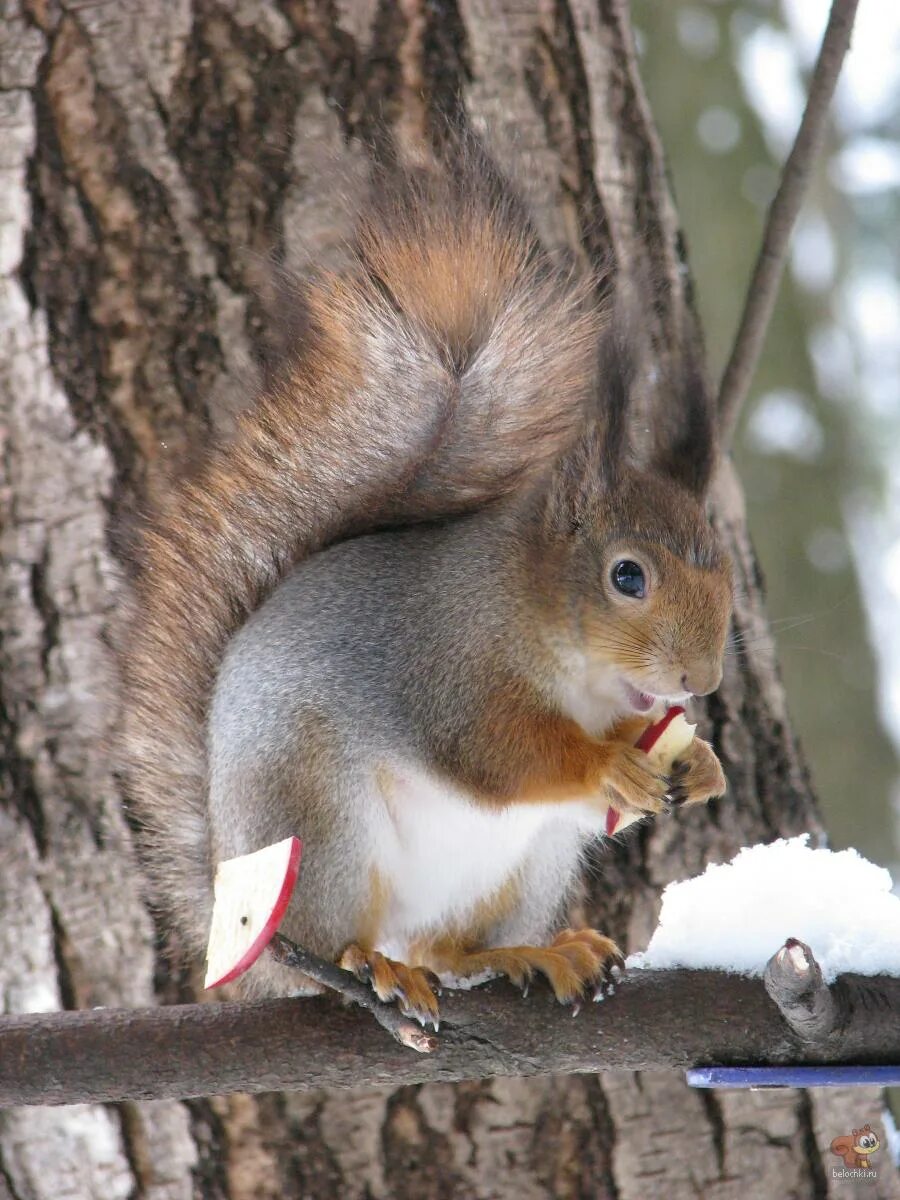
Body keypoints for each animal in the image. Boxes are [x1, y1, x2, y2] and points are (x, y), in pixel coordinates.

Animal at [120, 142, 734, 1022]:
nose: (702, 679)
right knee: (335, 950)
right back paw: (372, 966)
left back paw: (537, 952)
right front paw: (605, 762)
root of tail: (231, 905)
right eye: (628, 576)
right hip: (320, 827)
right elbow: (495, 751)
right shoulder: (450, 663)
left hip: (531, 865)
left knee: (449, 947)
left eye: (721, 564)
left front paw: (703, 762)